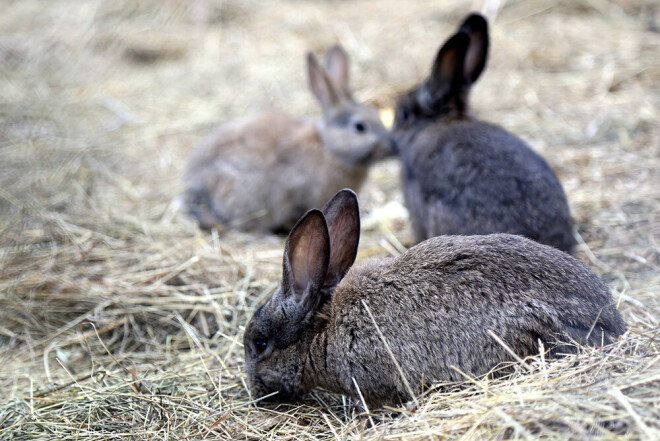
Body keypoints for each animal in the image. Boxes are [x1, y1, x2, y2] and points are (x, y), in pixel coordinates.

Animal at [180, 43, 394, 234]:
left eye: (376, 114)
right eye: (360, 127)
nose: (391, 146)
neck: (329, 148)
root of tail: (192, 191)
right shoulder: (296, 191)